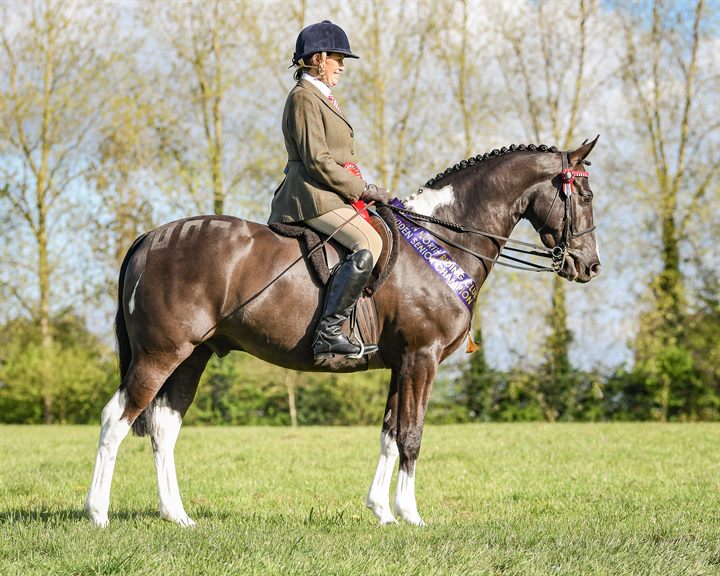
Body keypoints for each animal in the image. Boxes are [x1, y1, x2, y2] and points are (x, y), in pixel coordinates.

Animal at [86, 138, 601, 528]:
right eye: (586, 196)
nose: (589, 266)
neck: (443, 241)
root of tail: (151, 237)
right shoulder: (422, 358)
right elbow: (412, 435)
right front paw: (410, 514)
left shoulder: (401, 364)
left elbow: (390, 433)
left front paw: (382, 512)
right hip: (160, 354)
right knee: (116, 419)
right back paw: (98, 513)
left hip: (193, 355)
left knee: (163, 426)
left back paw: (177, 516)